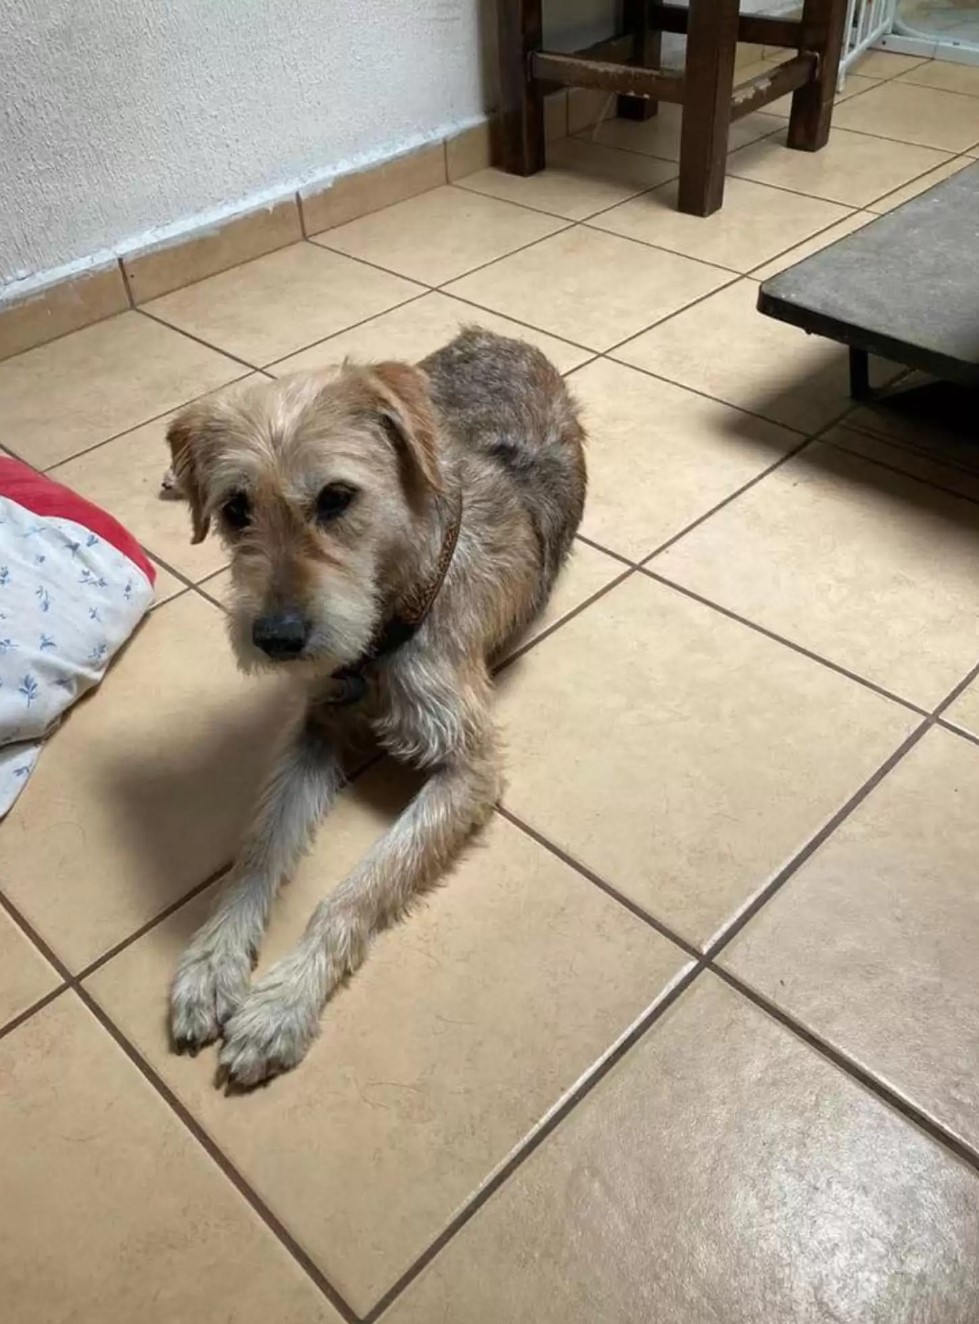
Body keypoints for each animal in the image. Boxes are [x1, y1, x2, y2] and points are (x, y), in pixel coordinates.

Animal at [165, 328, 585, 1085]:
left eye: (336, 497)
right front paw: (213, 959)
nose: (276, 638)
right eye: (236, 509)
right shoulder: (315, 726)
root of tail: (496, 336)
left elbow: (358, 888)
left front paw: (284, 1000)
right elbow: (260, 844)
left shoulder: (469, 768)